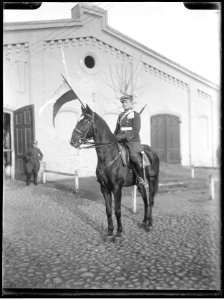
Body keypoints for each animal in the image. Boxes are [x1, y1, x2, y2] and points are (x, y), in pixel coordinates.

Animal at [70, 105, 159, 237]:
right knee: (145, 200)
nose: (72, 141)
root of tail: (152, 151)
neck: (108, 156)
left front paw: (119, 233)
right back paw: (144, 222)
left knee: (151, 201)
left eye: (85, 121)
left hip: (152, 180)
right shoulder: (104, 188)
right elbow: (108, 210)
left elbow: (117, 210)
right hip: (139, 184)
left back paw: (150, 224)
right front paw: (109, 232)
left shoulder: (117, 188)